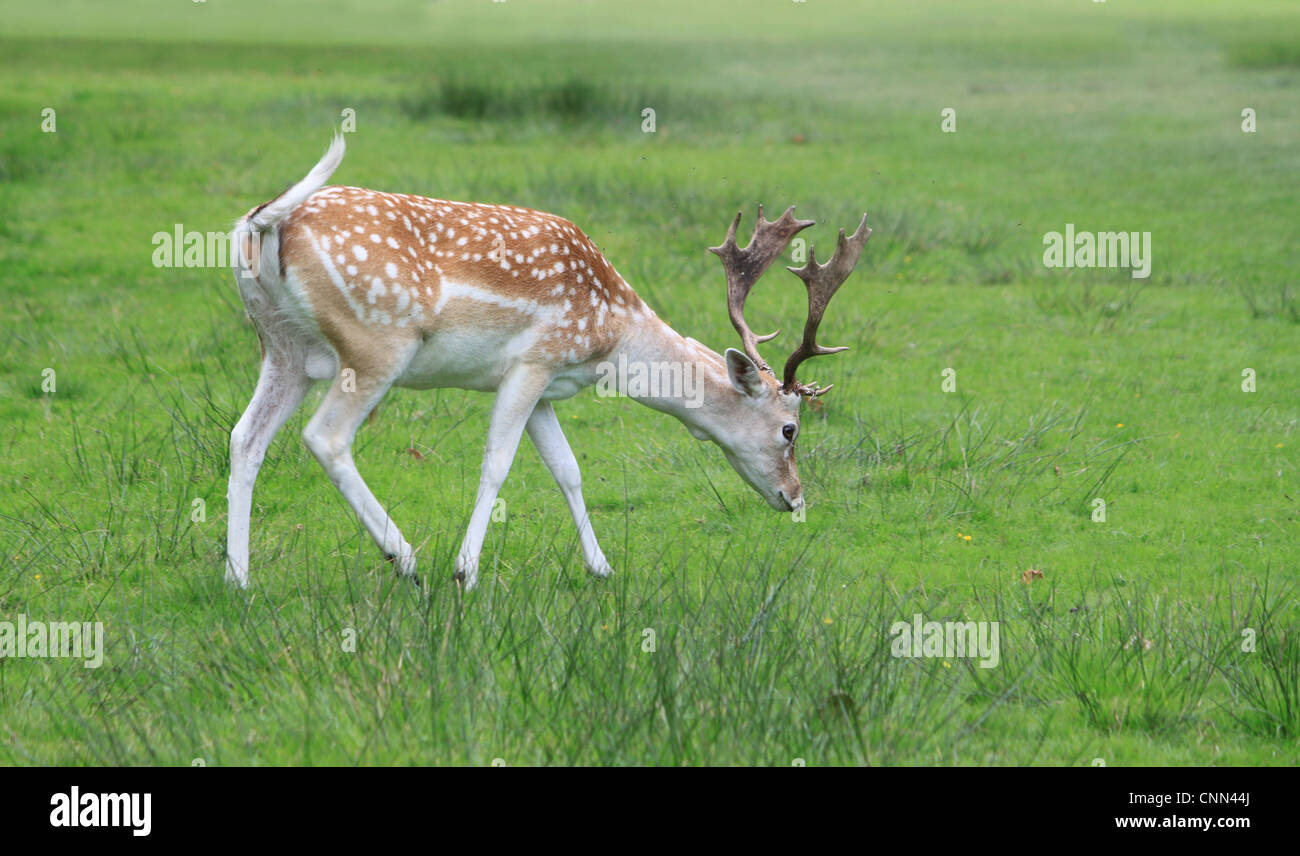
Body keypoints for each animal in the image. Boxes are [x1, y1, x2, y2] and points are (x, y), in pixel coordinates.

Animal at [226, 135, 870, 590]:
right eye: (789, 429)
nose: (795, 498)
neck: (612, 339)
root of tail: (261, 224)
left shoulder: (546, 388)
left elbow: (568, 470)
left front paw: (602, 568)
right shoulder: (532, 362)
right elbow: (497, 464)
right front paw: (466, 571)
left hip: (282, 345)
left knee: (245, 437)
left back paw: (238, 577)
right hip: (375, 344)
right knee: (325, 436)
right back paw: (404, 558)